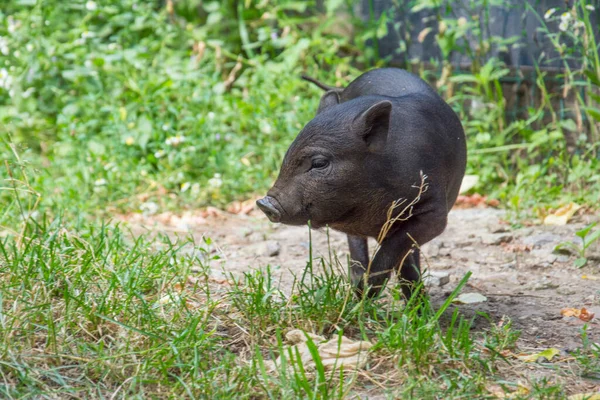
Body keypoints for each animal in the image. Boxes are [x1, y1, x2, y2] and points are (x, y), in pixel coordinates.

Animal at [255, 69, 466, 298]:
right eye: (288, 154)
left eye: (319, 163)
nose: (264, 203)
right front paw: (362, 296)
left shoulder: (433, 211)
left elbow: (393, 252)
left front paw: (370, 292)